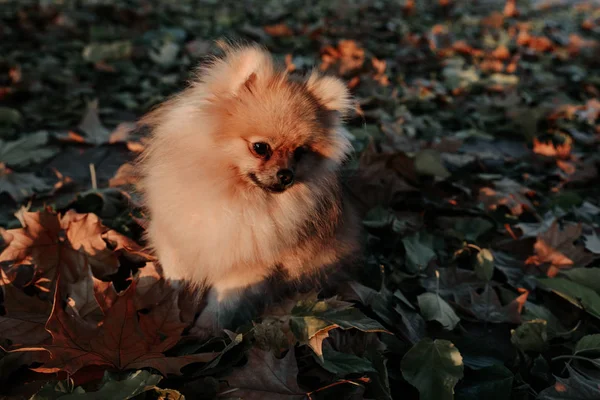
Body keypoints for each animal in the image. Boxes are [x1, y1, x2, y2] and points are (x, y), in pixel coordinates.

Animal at [137, 42, 360, 332]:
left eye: (300, 152)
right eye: (260, 148)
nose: (286, 175)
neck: (234, 195)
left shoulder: (246, 267)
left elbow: (222, 304)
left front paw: (204, 331)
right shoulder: (176, 240)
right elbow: (176, 279)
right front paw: (168, 309)